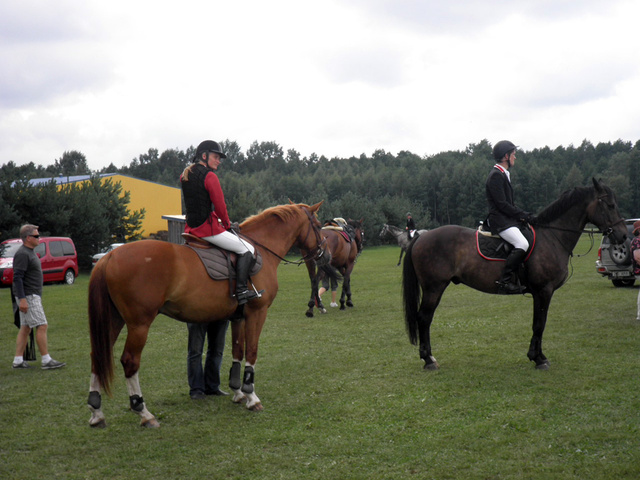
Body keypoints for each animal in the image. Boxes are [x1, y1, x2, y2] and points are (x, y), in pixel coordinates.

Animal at [85, 202, 328, 428]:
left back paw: (97, 413)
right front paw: (251, 397)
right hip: (139, 324)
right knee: (130, 361)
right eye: (317, 225)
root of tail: (110, 255)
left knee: (97, 356)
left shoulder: (238, 317)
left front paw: (238, 393)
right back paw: (144, 413)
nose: (324, 254)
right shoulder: (257, 313)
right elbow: (252, 351)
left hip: (114, 320)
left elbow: (237, 351)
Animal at [402, 180, 628, 372]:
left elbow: (539, 323)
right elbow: (539, 324)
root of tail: (421, 237)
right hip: (434, 287)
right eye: (610, 205)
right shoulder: (543, 290)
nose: (623, 235)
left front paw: (537, 356)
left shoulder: (541, 292)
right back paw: (428, 360)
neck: (552, 237)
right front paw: (539, 359)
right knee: (424, 318)